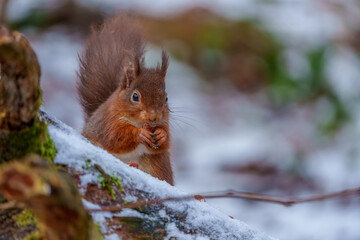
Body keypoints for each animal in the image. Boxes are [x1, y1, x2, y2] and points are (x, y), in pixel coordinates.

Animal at [77, 15, 174, 186]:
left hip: (157, 164)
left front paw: (161, 134)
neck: (138, 122)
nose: (154, 117)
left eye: (166, 99)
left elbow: (165, 141)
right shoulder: (107, 121)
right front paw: (140, 134)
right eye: (135, 96)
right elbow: (116, 137)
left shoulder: (164, 122)